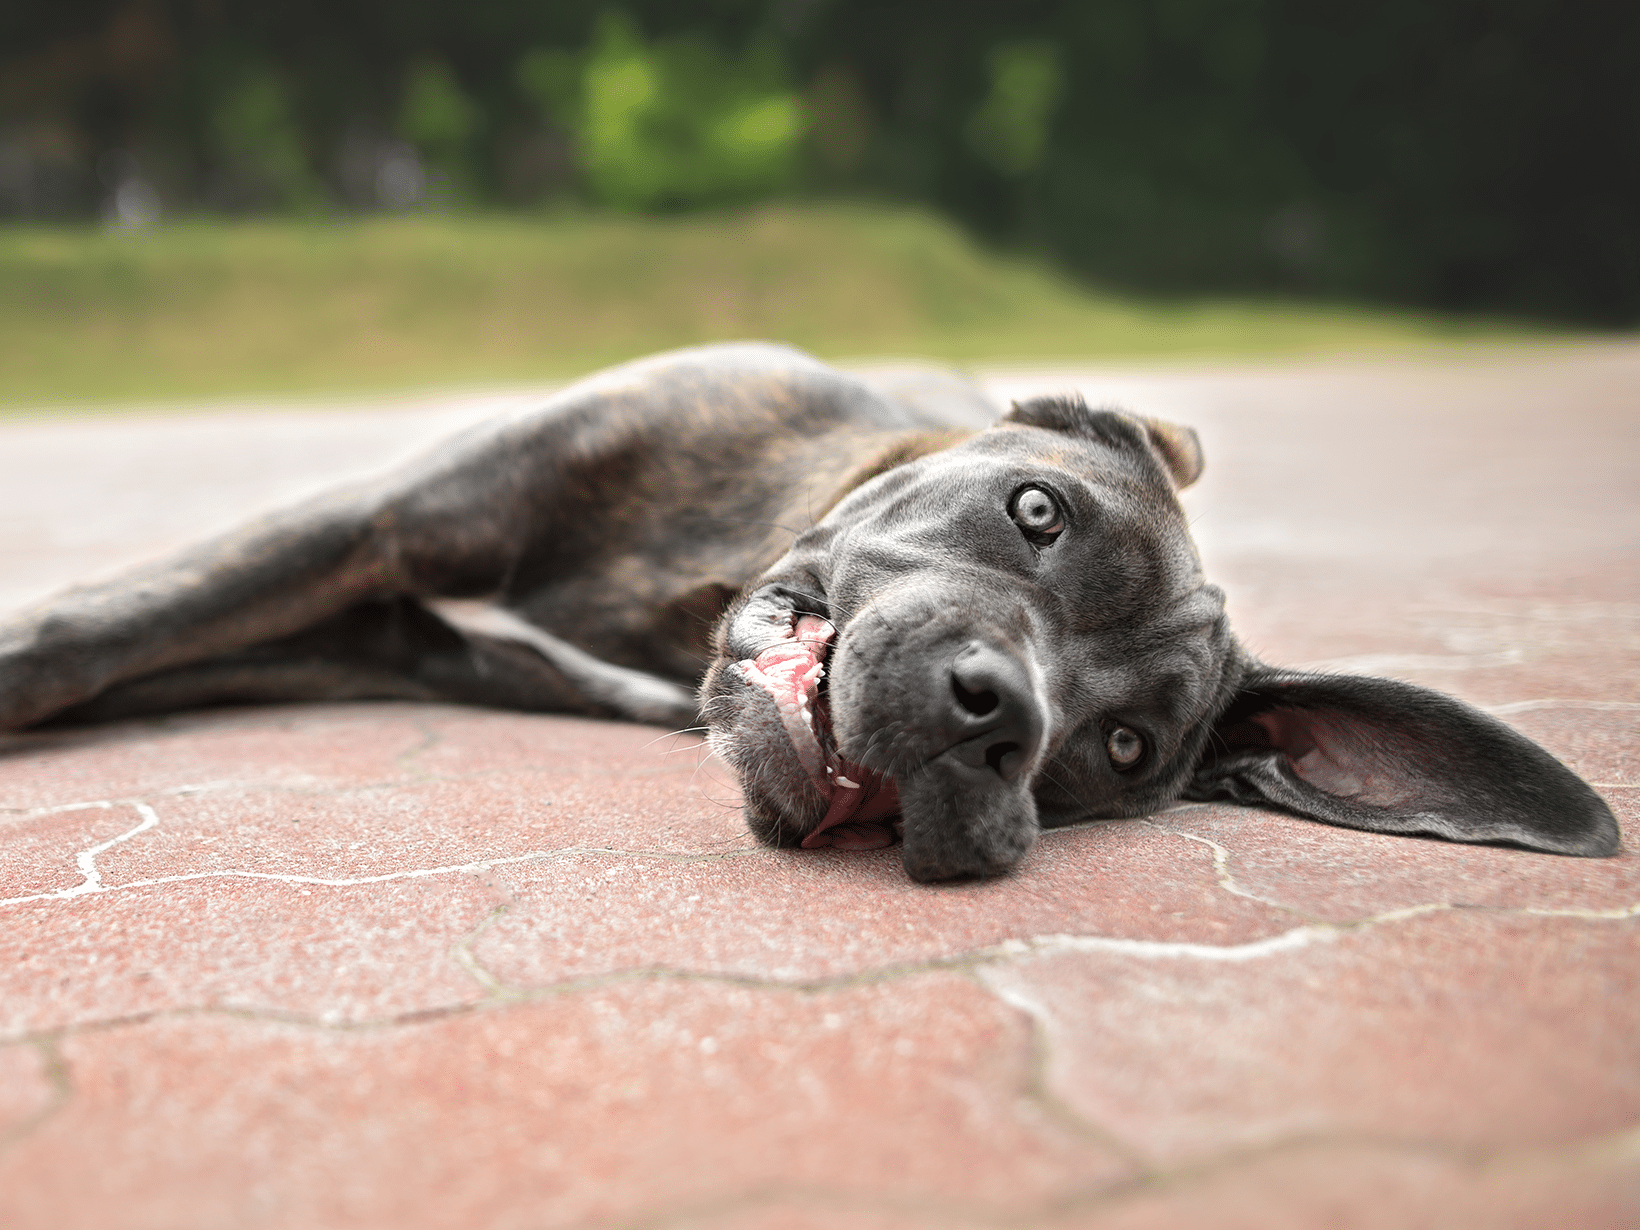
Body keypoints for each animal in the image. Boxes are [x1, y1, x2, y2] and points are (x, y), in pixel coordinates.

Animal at [0, 342, 1613, 879]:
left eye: (1126, 752)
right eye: (1038, 511)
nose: (998, 718)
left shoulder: (385, 638)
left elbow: (155, 654)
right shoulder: (385, 530)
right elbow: (114, 628)